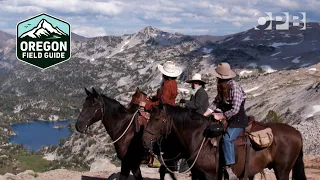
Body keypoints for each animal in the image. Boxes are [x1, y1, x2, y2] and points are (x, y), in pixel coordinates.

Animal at [143, 104, 308, 180]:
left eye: (157, 119)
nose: (144, 141)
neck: (199, 137)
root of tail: (297, 133)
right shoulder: (199, 173)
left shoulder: (210, 174)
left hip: (282, 169)